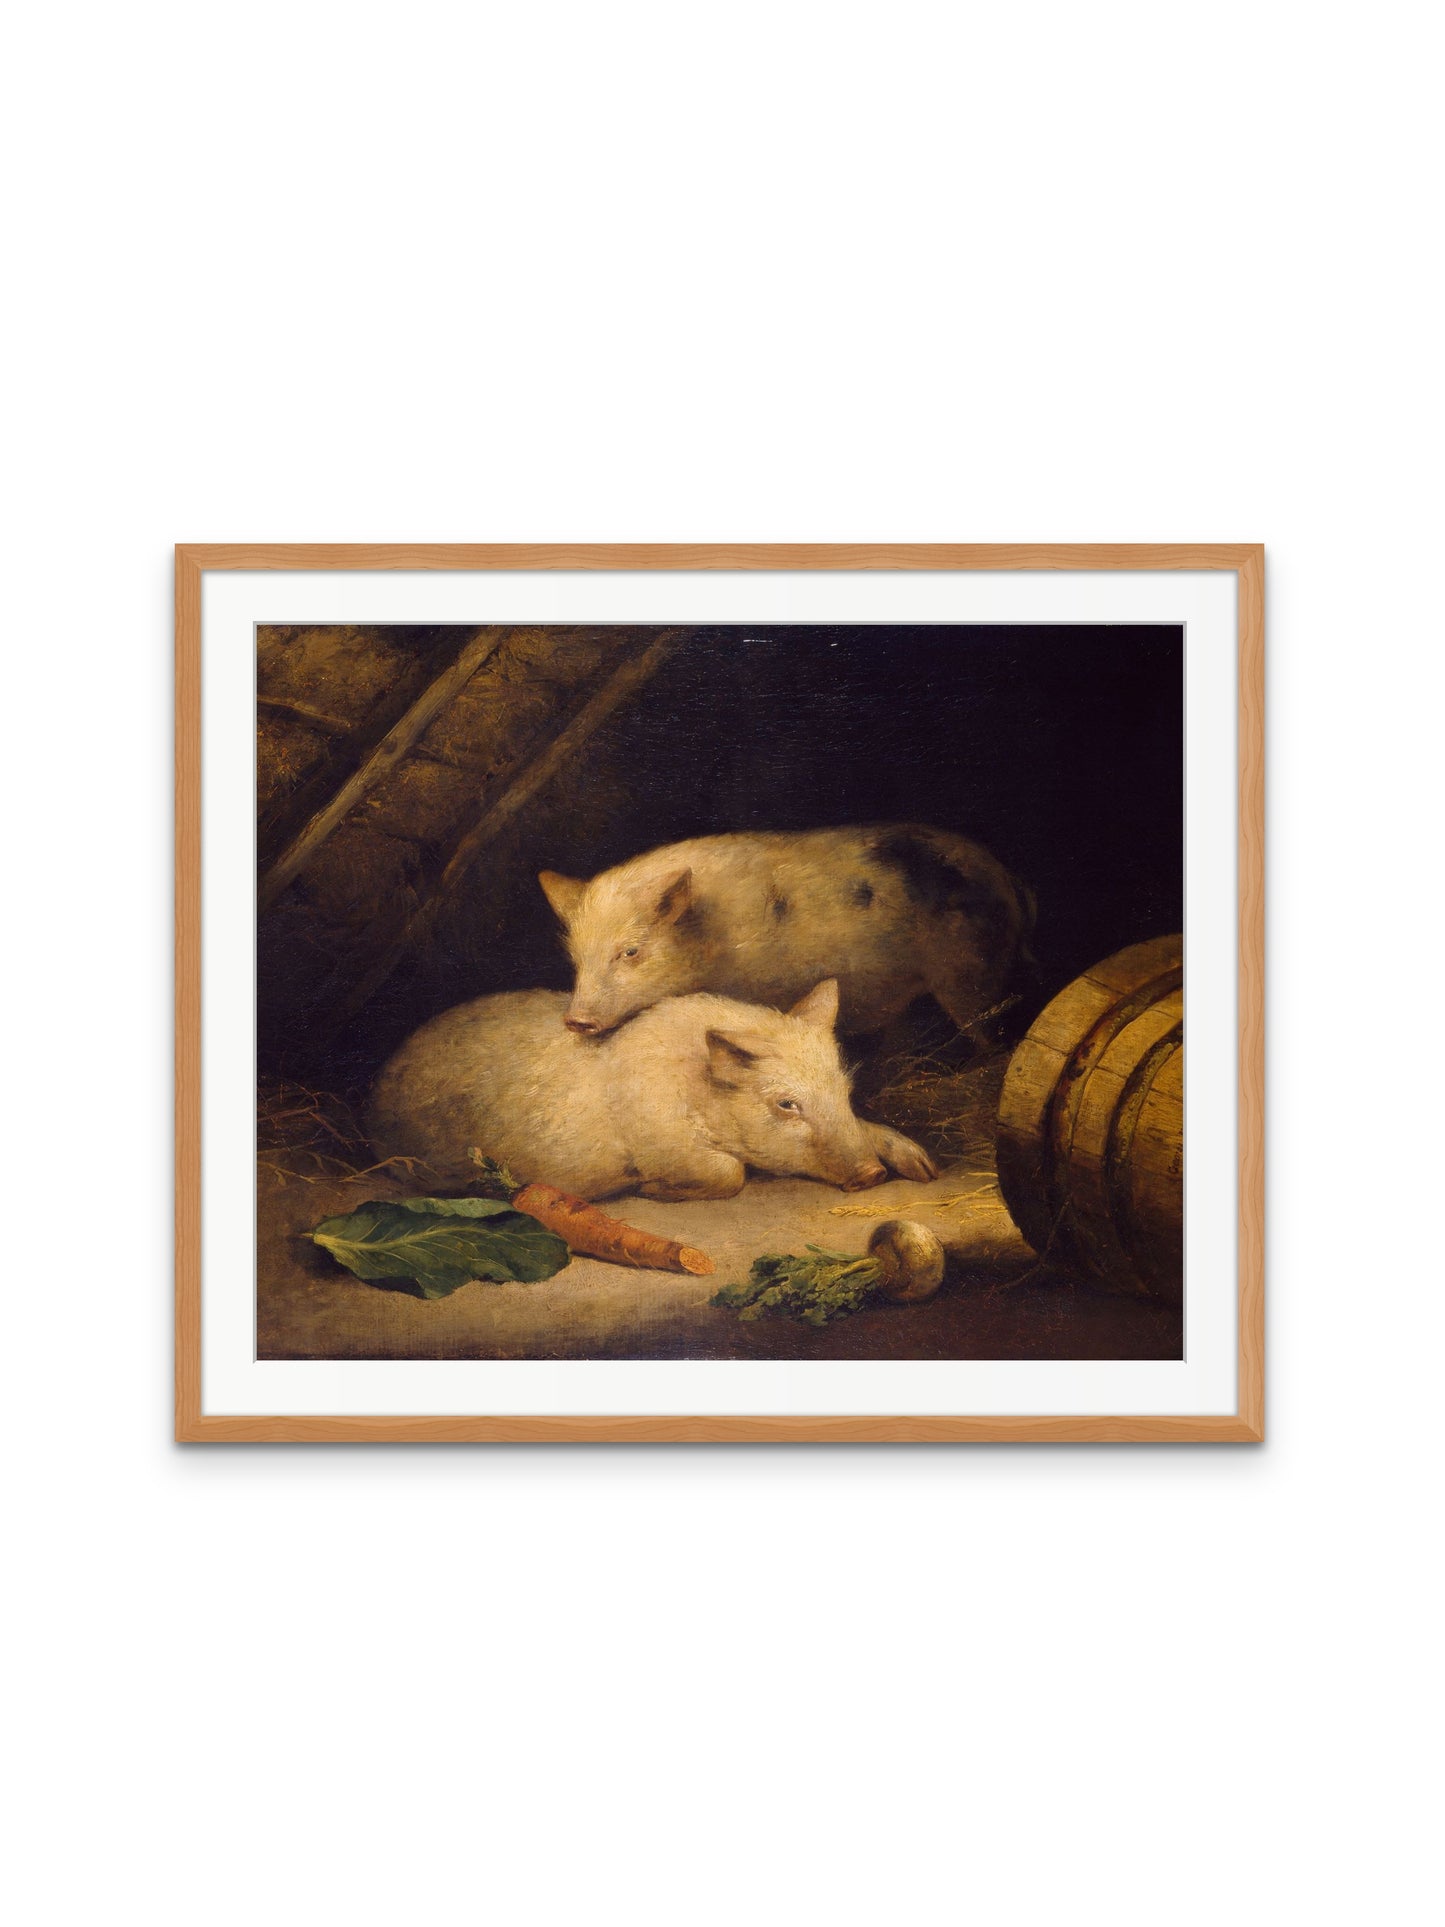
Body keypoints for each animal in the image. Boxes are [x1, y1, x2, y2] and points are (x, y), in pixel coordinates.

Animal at [366, 978, 936, 1201]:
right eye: (786, 1104)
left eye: (844, 1090)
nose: (871, 1175)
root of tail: (374, 1093)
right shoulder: (659, 1142)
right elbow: (729, 1173)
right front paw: (649, 1190)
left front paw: (923, 1167)